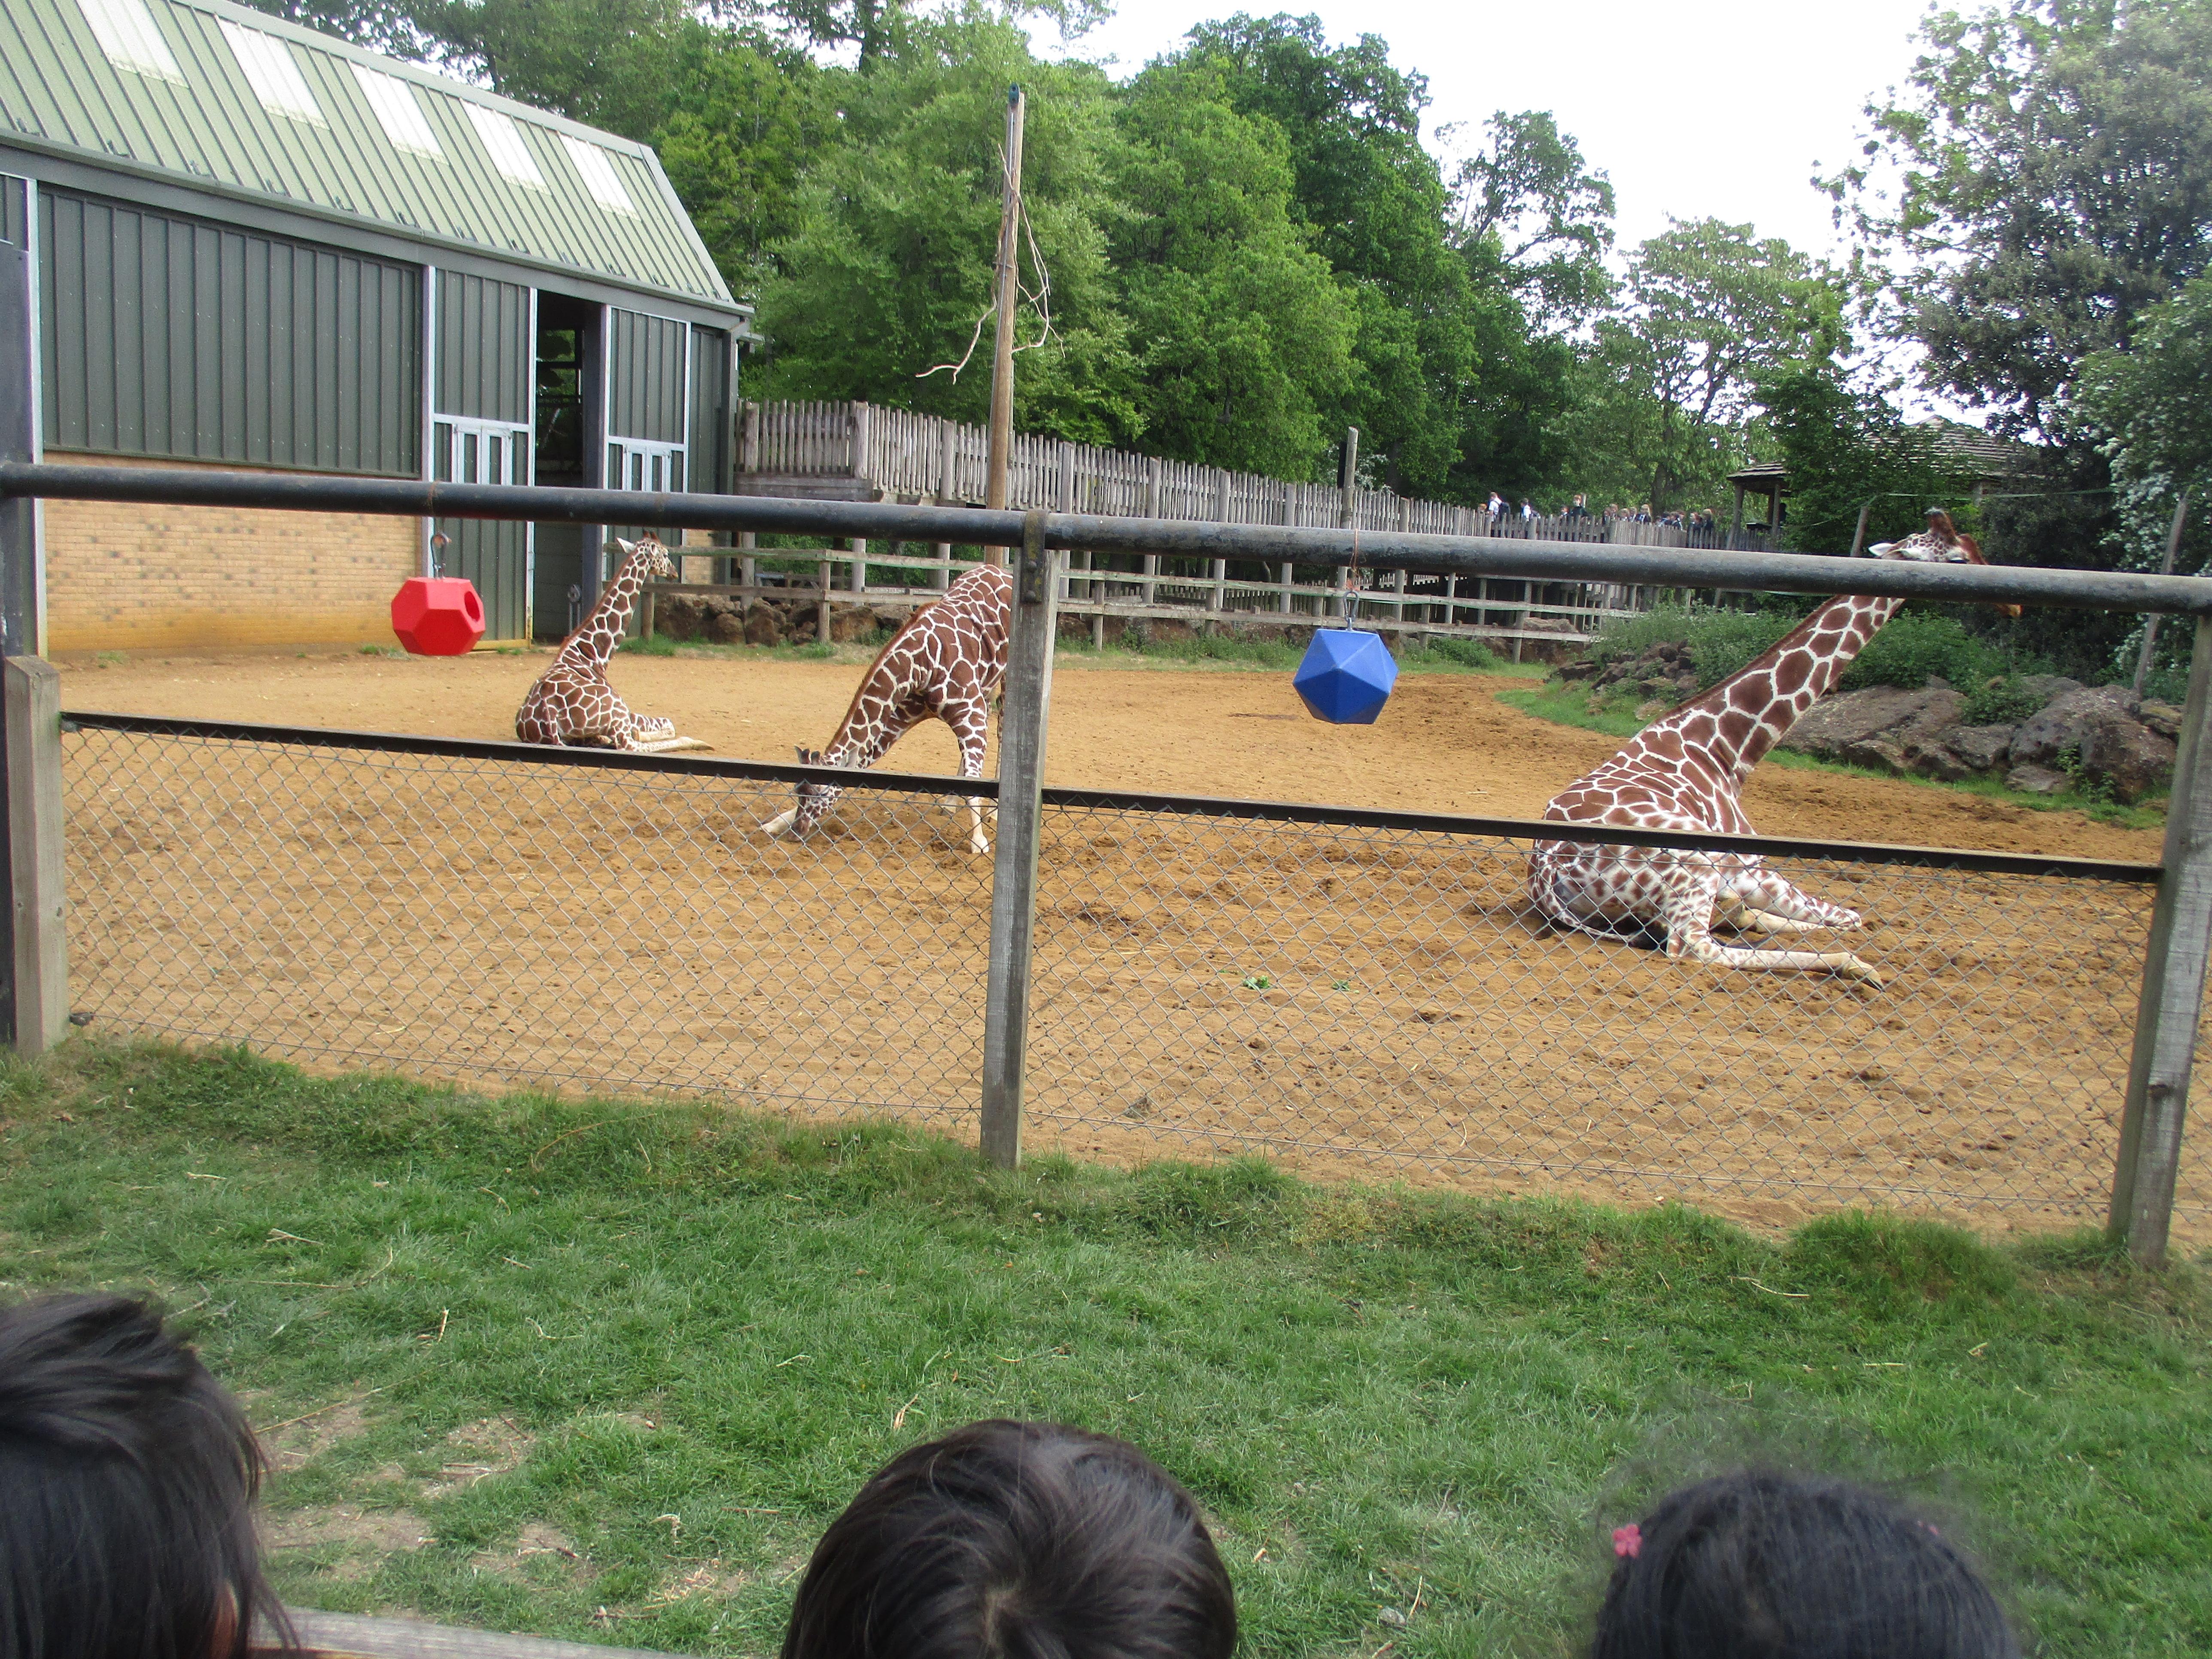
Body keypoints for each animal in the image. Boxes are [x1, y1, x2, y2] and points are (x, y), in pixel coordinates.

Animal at [516, 535, 700, 752]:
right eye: (665, 554)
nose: (674, 572)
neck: (592, 655)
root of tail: (548, 712)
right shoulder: (626, 713)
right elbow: (669, 724)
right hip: (617, 713)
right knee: (630, 745)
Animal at [761, 562, 1013, 855]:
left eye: (822, 793)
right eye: (797, 792)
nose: (797, 832)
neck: (919, 666)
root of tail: (1002, 572)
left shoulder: (969, 710)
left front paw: (979, 842)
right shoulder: (901, 714)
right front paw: (774, 824)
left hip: (1003, 681)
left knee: (1003, 730)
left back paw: (994, 811)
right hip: (984, 687)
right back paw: (949, 803)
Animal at [1528, 509, 2021, 988]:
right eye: (1958, 558)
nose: (2013, 602)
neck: (1727, 750)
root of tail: (1548, 872)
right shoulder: (1750, 865)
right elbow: (1849, 916)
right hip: (1698, 868)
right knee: (1697, 947)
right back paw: (1854, 966)